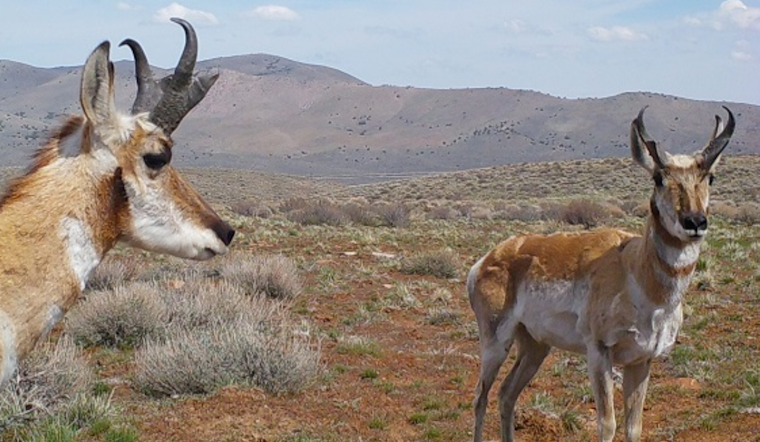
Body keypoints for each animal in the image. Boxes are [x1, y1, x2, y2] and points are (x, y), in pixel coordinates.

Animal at [468, 107, 735, 442]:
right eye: (659, 177)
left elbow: (634, 428)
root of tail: (489, 257)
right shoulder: (598, 353)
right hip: (496, 343)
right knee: (481, 397)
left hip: (535, 346)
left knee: (506, 394)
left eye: (709, 176)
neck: (636, 271)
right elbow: (607, 425)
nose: (695, 222)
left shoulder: (641, 360)